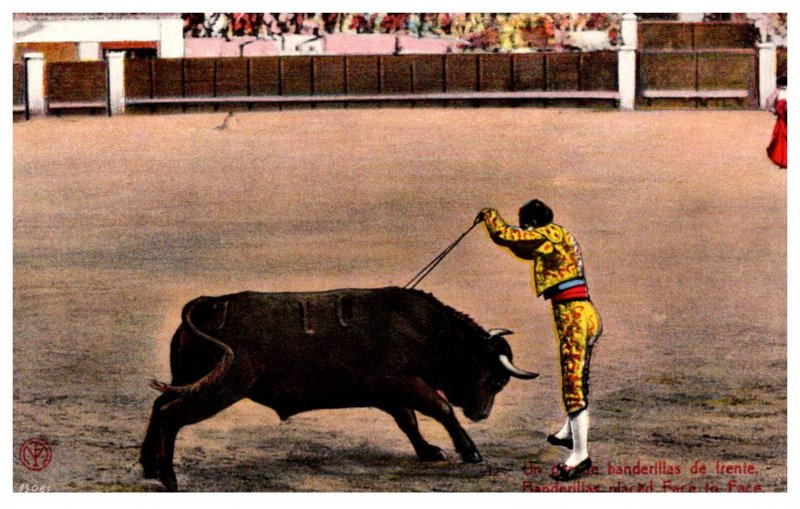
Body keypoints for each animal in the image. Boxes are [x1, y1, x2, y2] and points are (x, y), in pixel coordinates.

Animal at [139, 286, 536, 488]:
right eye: (497, 379)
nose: (481, 414)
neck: (424, 329)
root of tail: (208, 304)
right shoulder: (402, 383)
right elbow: (440, 409)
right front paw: (470, 451)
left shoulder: (390, 393)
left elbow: (409, 421)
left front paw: (428, 451)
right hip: (222, 388)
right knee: (171, 414)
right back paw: (169, 477)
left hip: (189, 382)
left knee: (160, 406)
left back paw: (148, 467)